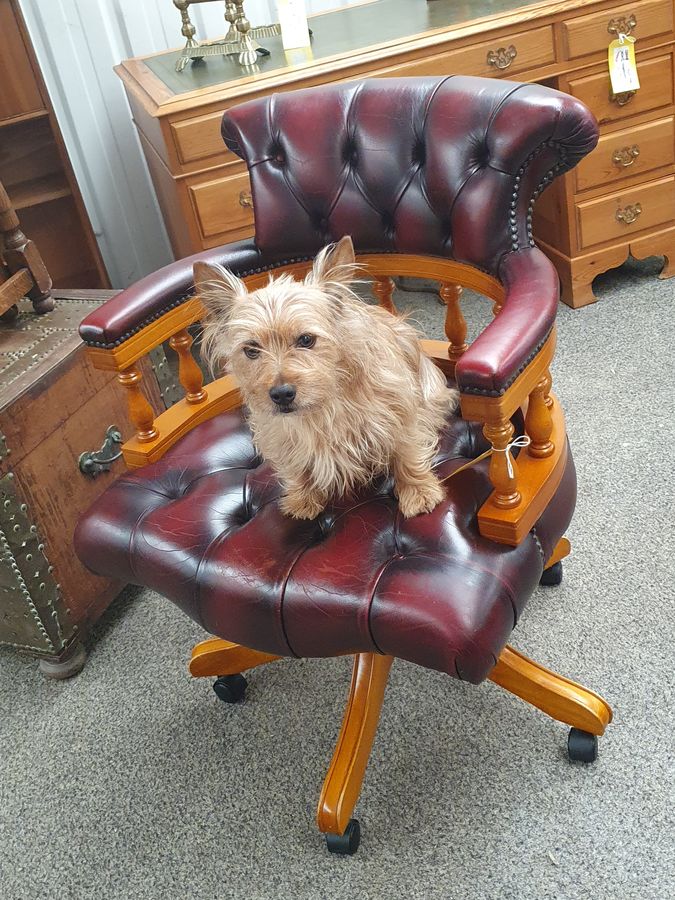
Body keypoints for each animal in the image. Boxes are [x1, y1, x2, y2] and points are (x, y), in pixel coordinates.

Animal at [195, 236, 460, 520]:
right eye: (251, 349)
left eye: (306, 339)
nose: (281, 394)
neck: (324, 403)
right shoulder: (280, 431)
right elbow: (297, 464)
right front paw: (303, 497)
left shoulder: (400, 410)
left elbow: (406, 449)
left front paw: (418, 490)